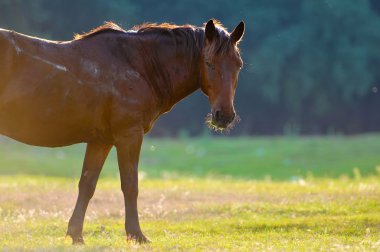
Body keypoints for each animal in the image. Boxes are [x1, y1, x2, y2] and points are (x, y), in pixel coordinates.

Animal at [0, 19, 243, 244]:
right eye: (209, 63)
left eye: (238, 64)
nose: (224, 116)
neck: (139, 64)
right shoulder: (129, 135)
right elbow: (130, 185)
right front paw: (136, 234)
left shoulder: (101, 141)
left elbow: (87, 185)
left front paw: (76, 235)